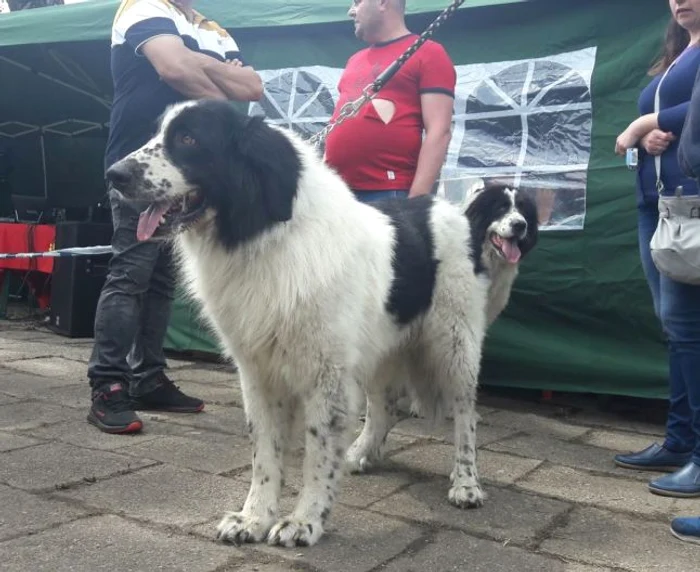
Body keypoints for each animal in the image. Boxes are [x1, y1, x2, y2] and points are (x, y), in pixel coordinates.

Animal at [106, 100, 540, 548]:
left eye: (189, 139)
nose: (113, 174)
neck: (266, 237)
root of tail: (448, 210)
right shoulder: (259, 373)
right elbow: (265, 452)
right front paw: (254, 518)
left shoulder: (326, 375)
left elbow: (317, 452)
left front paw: (304, 521)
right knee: (385, 406)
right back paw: (361, 453)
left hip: (453, 347)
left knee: (465, 417)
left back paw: (466, 483)